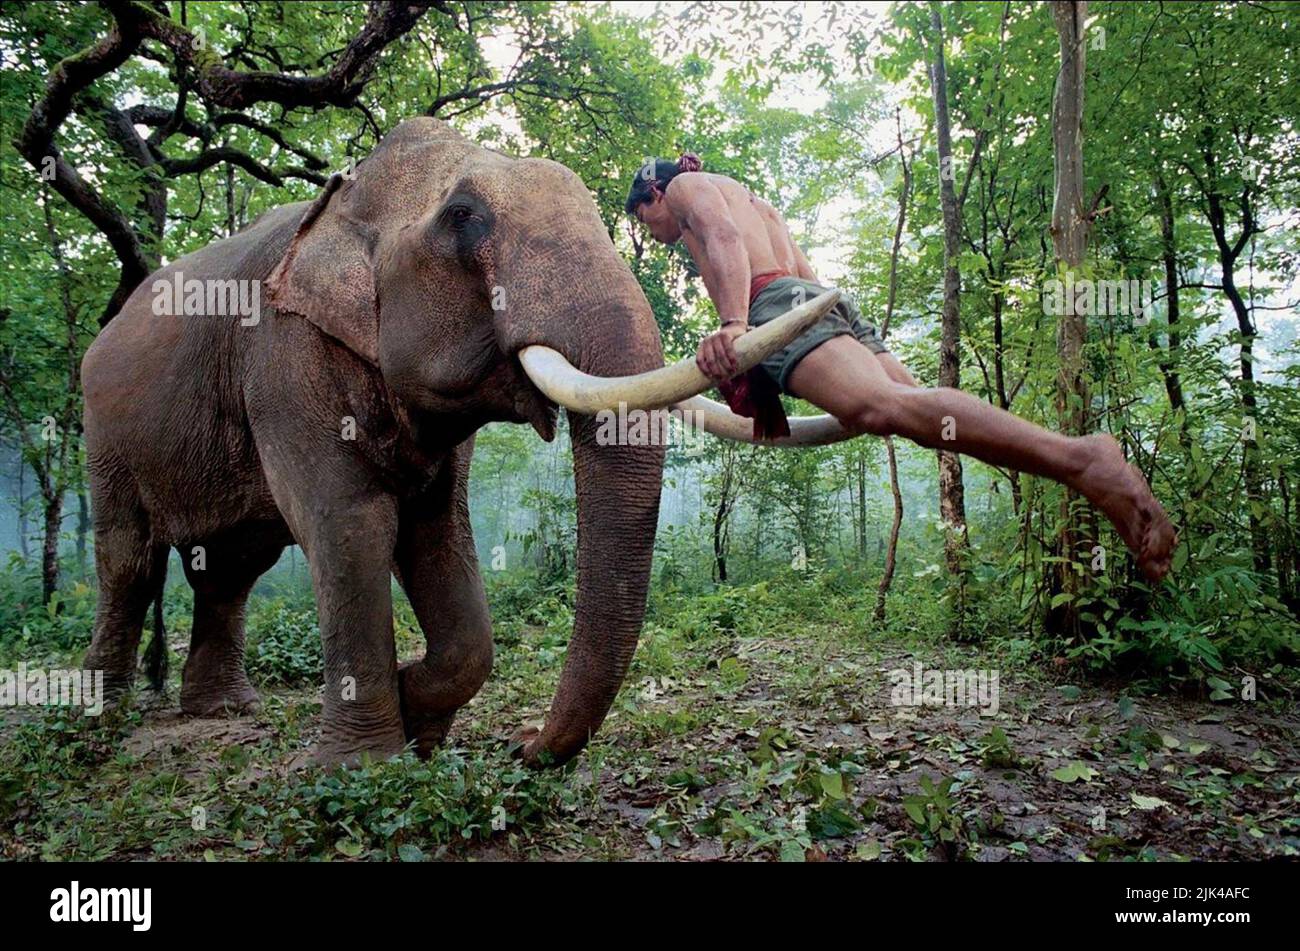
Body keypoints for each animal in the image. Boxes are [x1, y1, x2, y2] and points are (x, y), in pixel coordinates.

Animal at [79, 117, 842, 766]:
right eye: (464, 218)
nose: (524, 743)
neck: (349, 195)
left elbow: (438, 531)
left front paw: (419, 717)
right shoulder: (281, 355)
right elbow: (351, 522)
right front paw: (360, 765)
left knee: (231, 566)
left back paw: (222, 710)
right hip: (104, 431)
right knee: (130, 558)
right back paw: (101, 720)